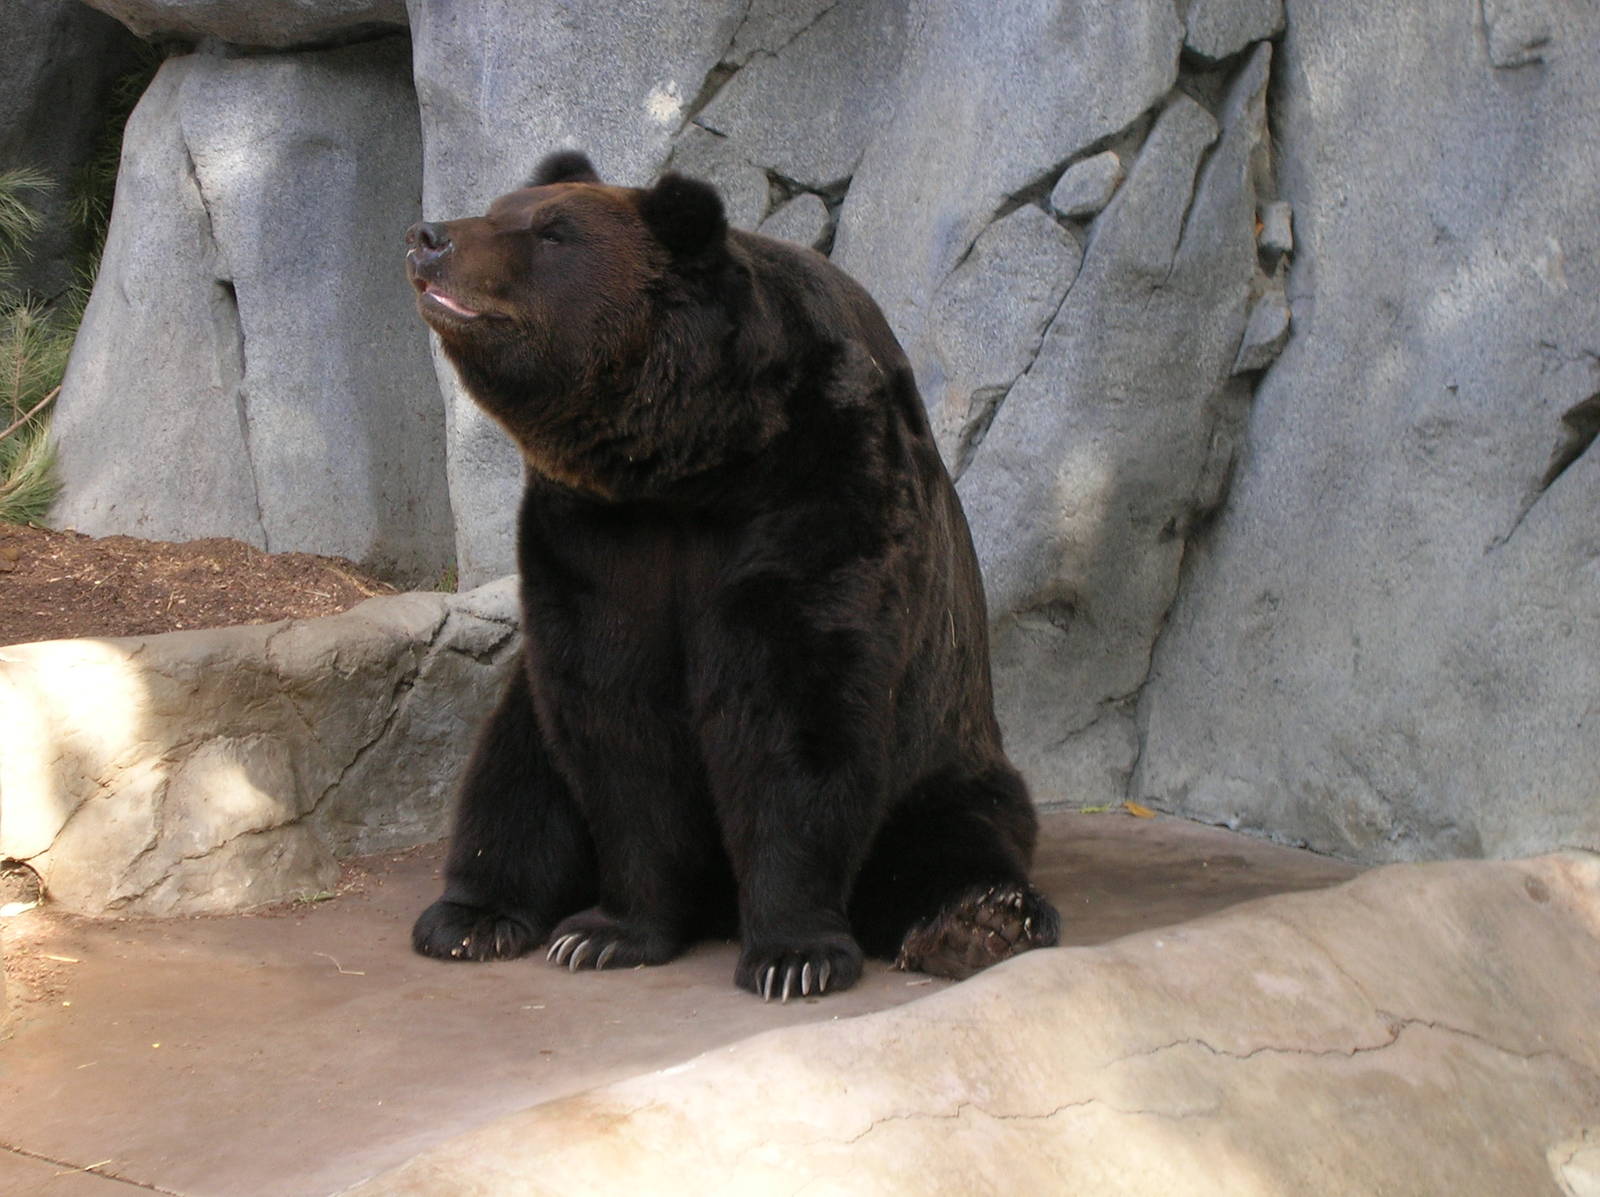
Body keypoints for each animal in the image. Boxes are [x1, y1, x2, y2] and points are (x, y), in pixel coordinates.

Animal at [405, 150, 1060, 1000]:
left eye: (550, 231)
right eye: (499, 208)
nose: (430, 236)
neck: (696, 462)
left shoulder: (826, 479)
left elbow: (796, 708)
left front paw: (793, 953)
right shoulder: (595, 534)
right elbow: (618, 716)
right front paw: (607, 932)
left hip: (946, 750)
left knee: (960, 835)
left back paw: (977, 922)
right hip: (528, 715)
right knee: (513, 774)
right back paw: (471, 916)